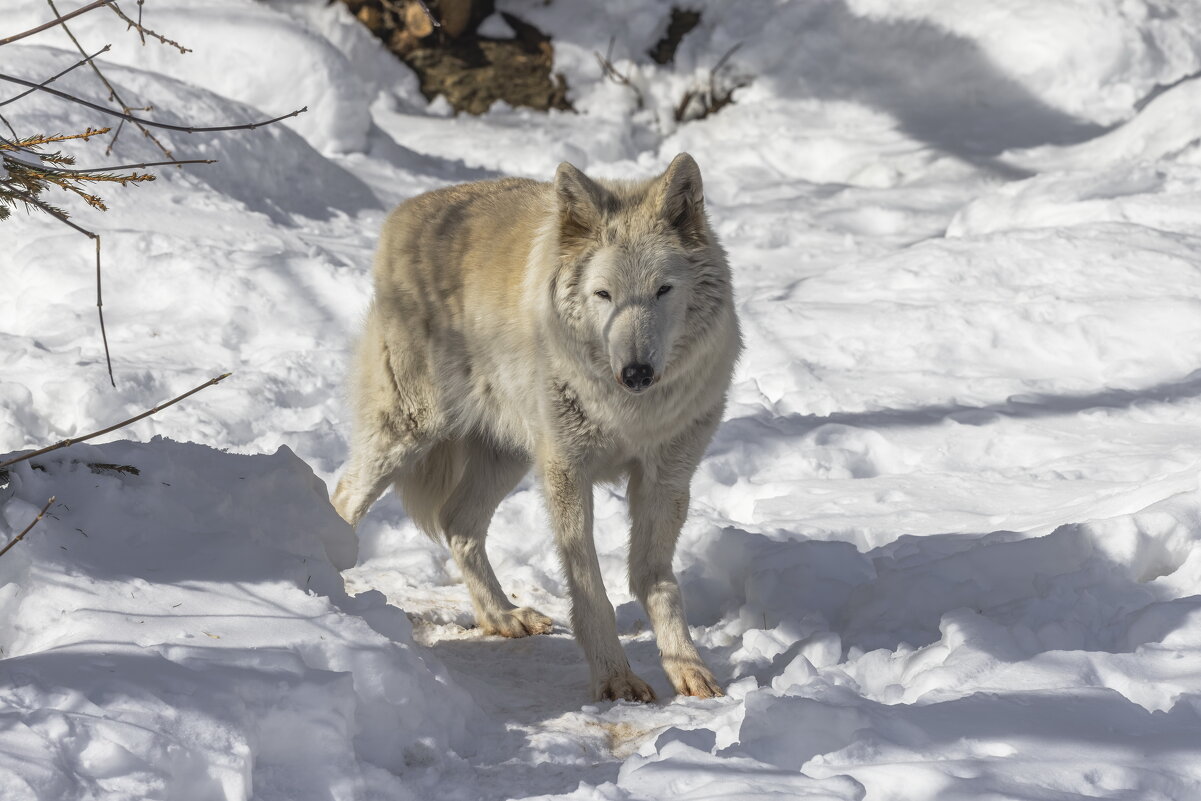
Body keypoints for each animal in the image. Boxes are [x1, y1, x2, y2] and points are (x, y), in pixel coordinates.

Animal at [331, 151, 739, 701]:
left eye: (663, 291)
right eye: (604, 295)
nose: (636, 373)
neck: (628, 410)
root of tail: (403, 213)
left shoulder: (667, 478)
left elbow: (656, 580)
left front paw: (686, 666)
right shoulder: (567, 472)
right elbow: (590, 588)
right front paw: (614, 677)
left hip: (509, 455)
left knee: (457, 522)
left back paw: (502, 616)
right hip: (410, 434)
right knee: (343, 498)